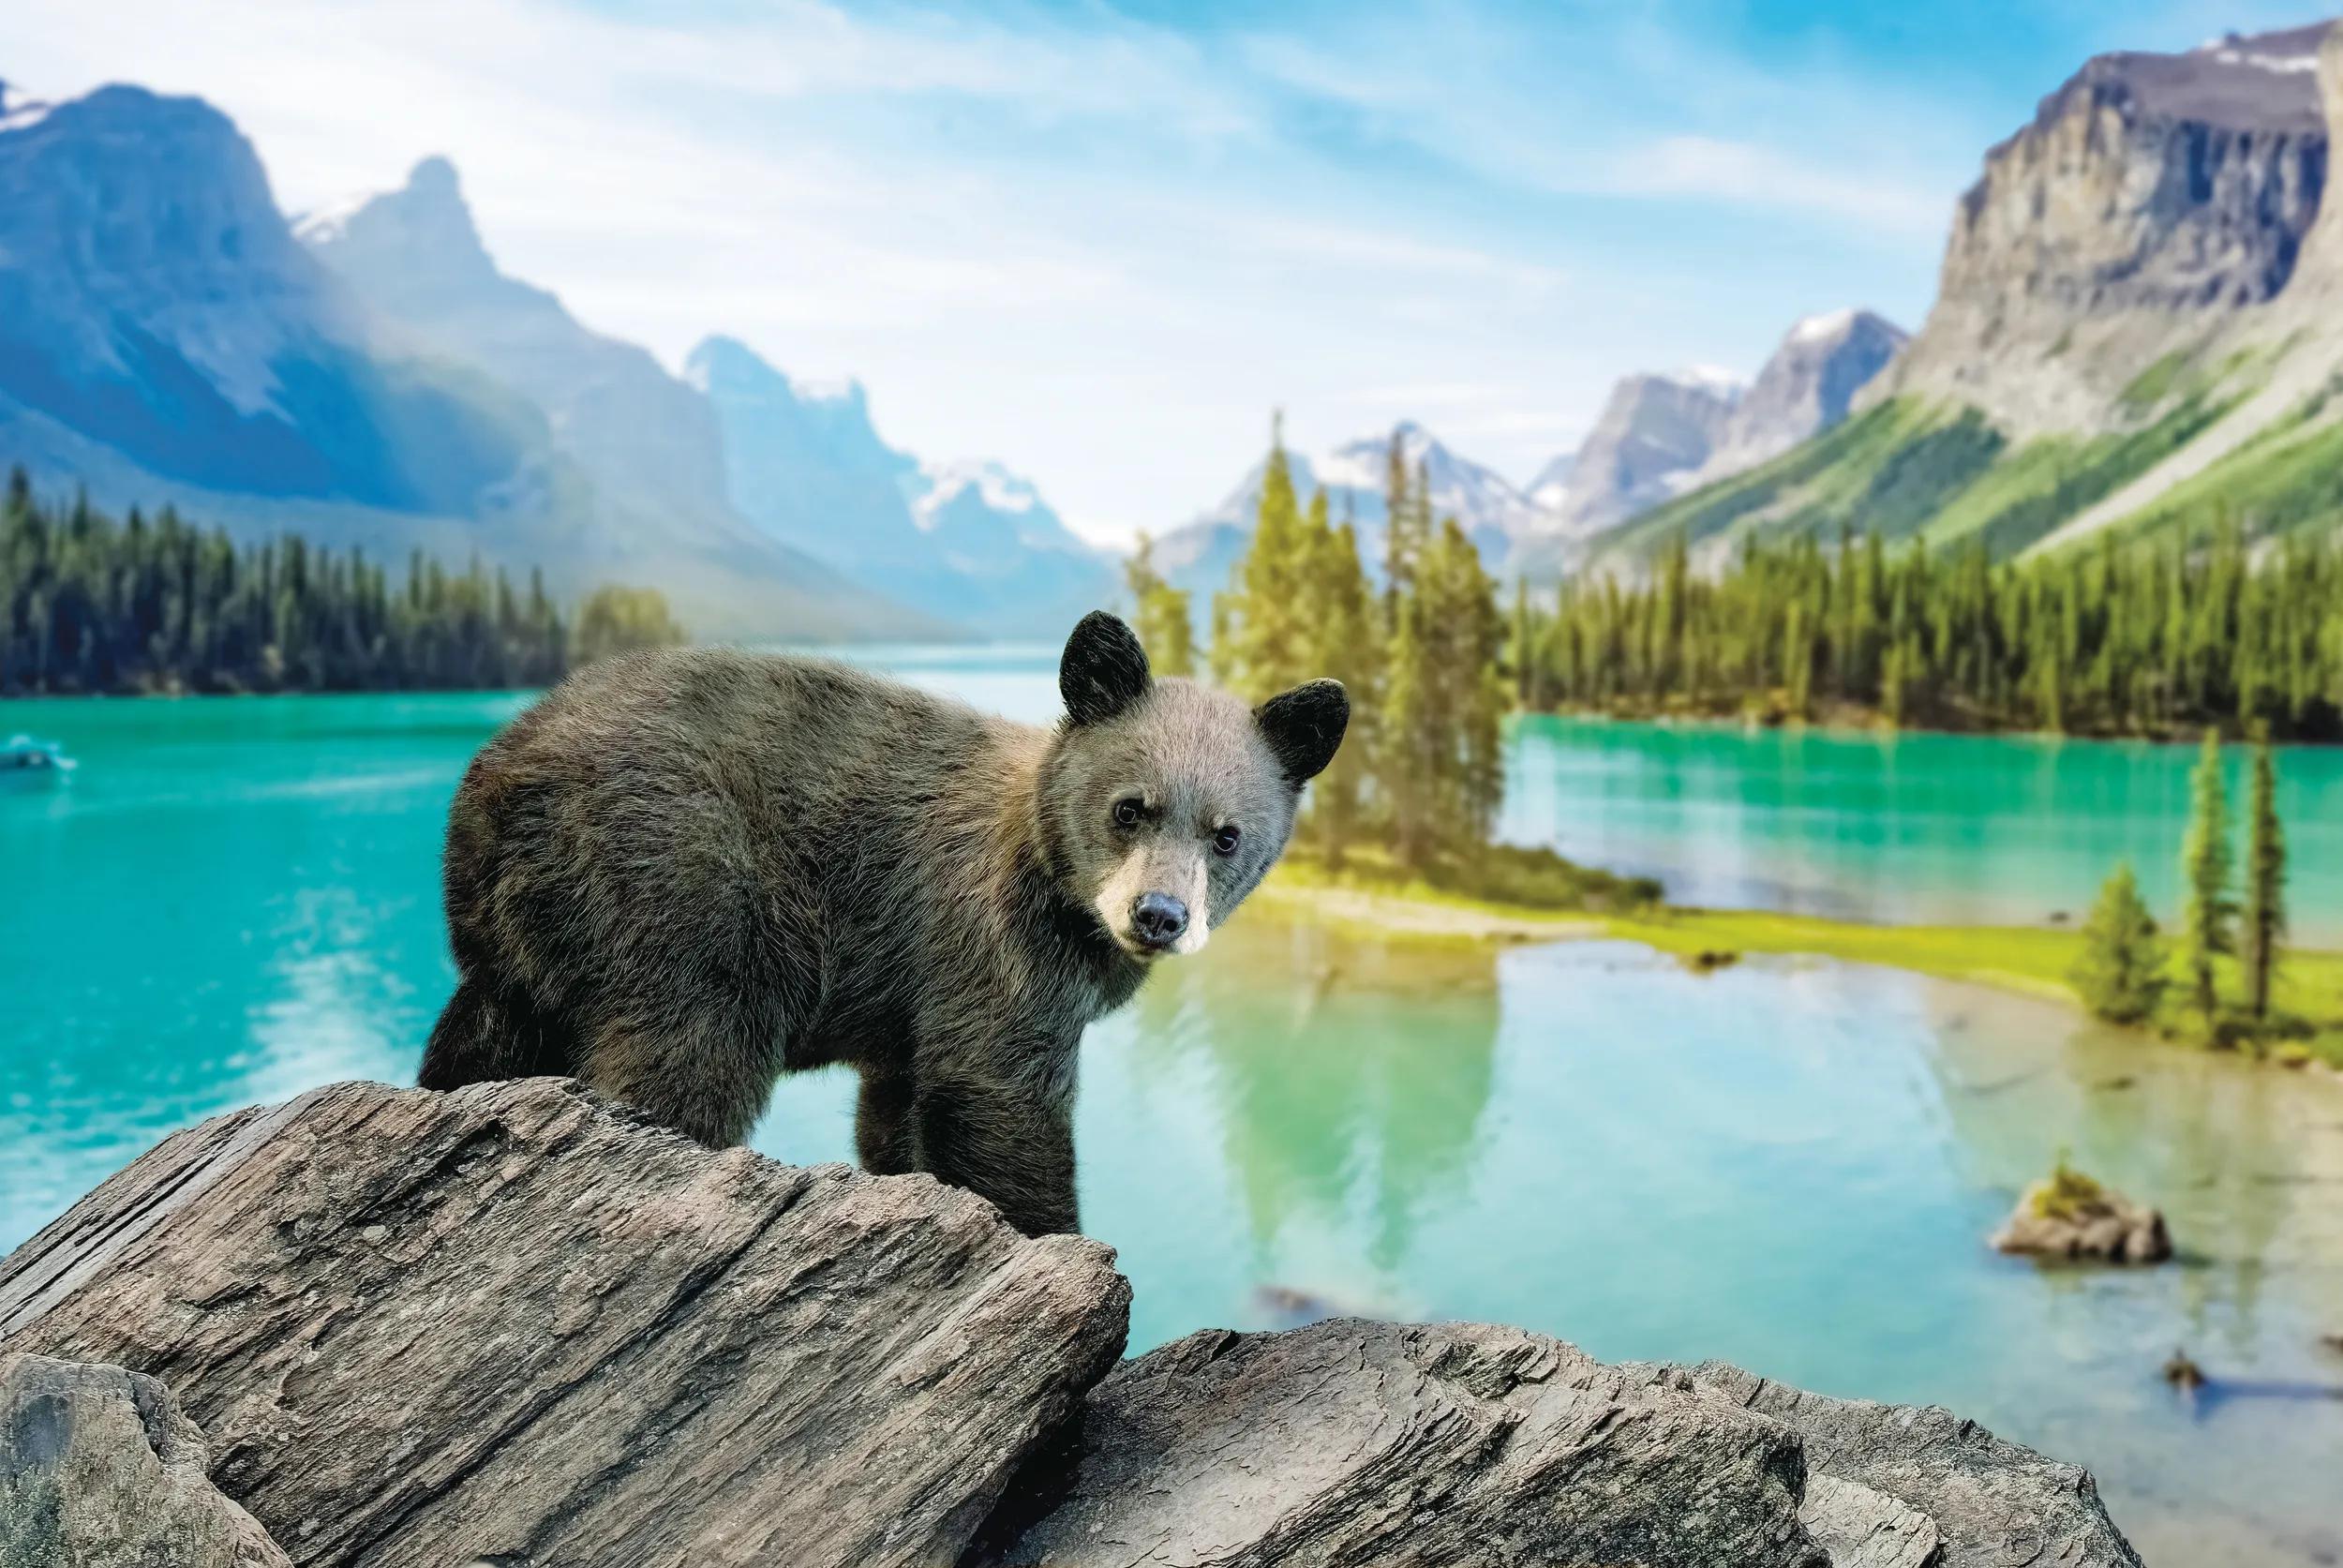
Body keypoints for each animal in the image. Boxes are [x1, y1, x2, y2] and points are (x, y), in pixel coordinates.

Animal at [418, 611, 1347, 1236]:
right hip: (678, 883)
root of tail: (498, 780)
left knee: (482, 1035)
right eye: (1131, 807)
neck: (1056, 884)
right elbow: (998, 1093)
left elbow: (898, 1109)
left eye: (1226, 834)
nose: (1158, 915)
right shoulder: (988, 941)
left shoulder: (912, 1008)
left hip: (517, 944)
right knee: (686, 1051)